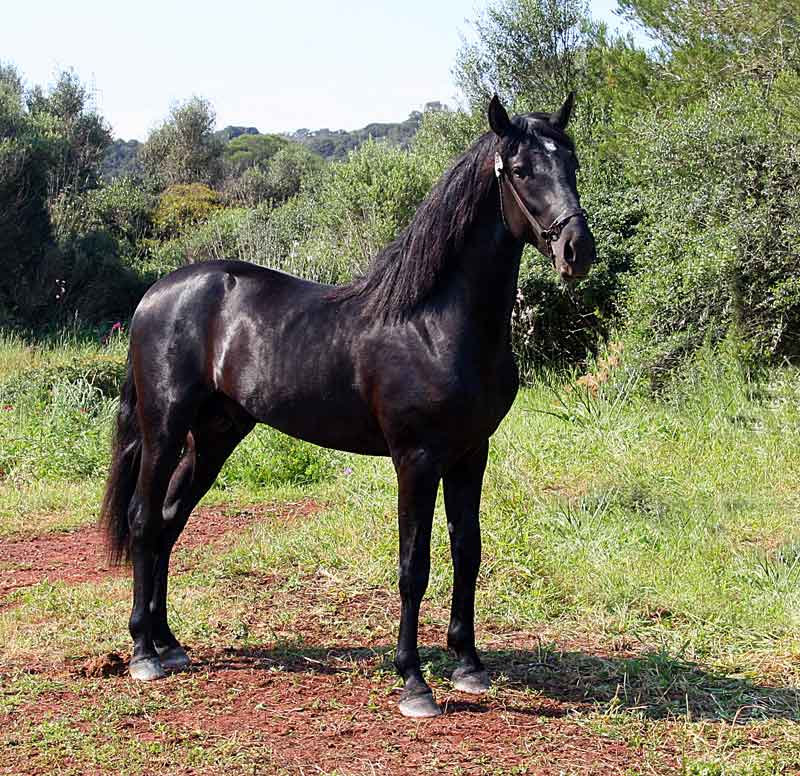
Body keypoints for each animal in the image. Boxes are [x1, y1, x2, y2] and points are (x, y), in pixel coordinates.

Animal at [101, 94, 592, 720]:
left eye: (572, 163)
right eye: (523, 170)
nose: (577, 251)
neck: (435, 323)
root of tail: (157, 294)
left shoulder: (470, 453)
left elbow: (468, 551)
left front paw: (469, 665)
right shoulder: (416, 459)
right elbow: (414, 565)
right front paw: (414, 682)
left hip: (216, 434)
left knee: (169, 521)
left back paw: (169, 643)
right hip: (164, 427)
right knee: (144, 520)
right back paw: (142, 652)